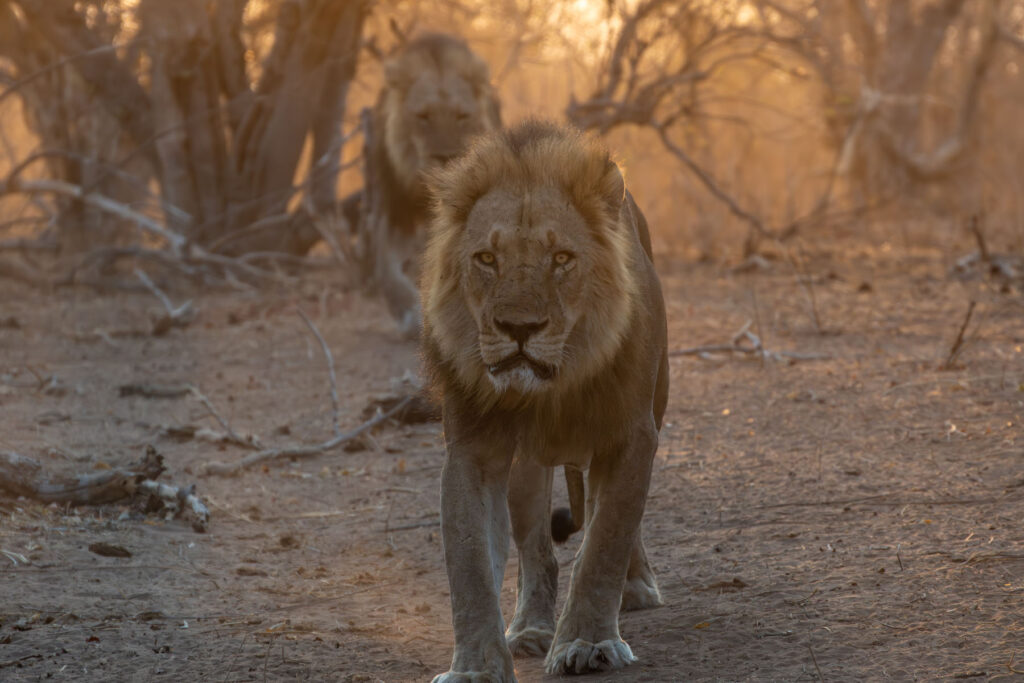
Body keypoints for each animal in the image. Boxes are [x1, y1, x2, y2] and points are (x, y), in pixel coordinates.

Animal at [342, 33, 502, 338]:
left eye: (462, 116)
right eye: (423, 116)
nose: (447, 155)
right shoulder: (393, 209)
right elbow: (386, 267)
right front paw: (407, 313)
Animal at [421, 120, 668, 681]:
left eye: (561, 259)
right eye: (487, 259)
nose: (519, 328)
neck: (555, 386)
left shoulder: (631, 434)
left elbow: (605, 540)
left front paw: (588, 643)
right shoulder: (473, 449)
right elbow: (469, 565)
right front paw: (475, 667)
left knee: (611, 522)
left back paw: (636, 585)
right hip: (527, 466)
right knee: (538, 549)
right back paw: (531, 628)